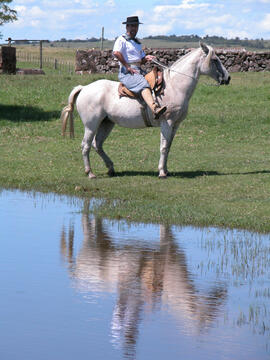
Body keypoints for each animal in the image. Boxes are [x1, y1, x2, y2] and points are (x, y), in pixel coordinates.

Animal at [61, 42, 230, 179]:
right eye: (215, 60)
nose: (227, 78)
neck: (174, 86)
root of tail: (84, 88)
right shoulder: (167, 122)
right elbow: (163, 147)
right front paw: (161, 172)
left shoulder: (175, 125)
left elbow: (168, 147)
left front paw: (166, 170)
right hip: (91, 125)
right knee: (86, 145)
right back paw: (90, 173)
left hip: (107, 123)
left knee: (98, 145)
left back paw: (111, 169)